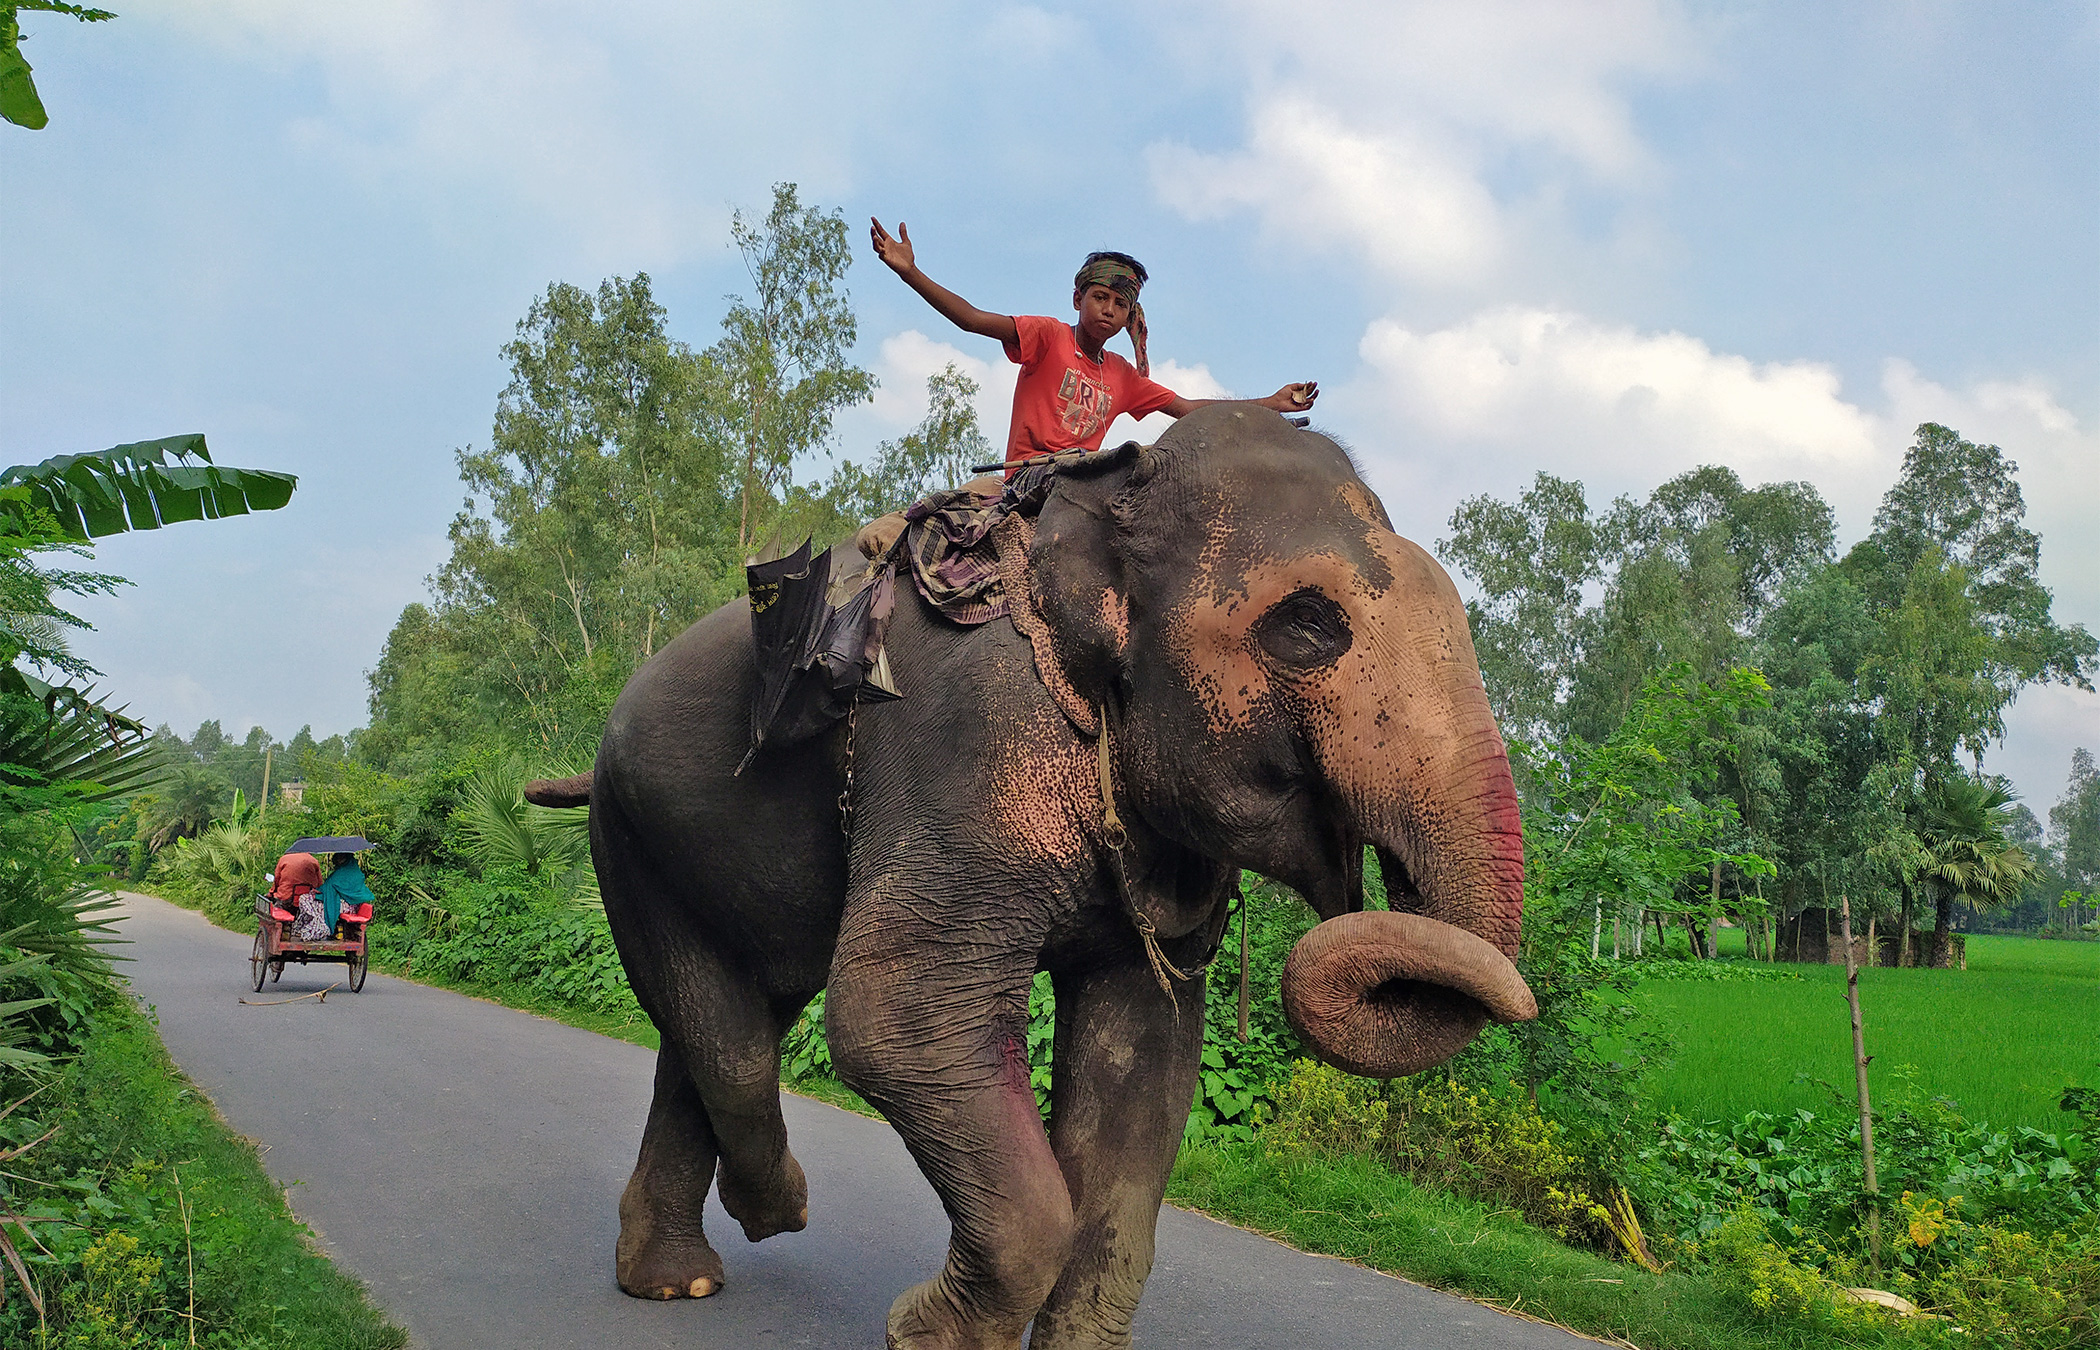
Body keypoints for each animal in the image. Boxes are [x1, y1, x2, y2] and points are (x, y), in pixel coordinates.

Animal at [532, 406, 1535, 1349]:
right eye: (1307, 627)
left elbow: (1142, 1061)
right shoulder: (967, 738)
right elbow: (896, 1015)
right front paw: (921, 1336)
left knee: (722, 1021)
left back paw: (681, 1279)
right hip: (628, 832)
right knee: (729, 1030)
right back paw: (773, 1214)